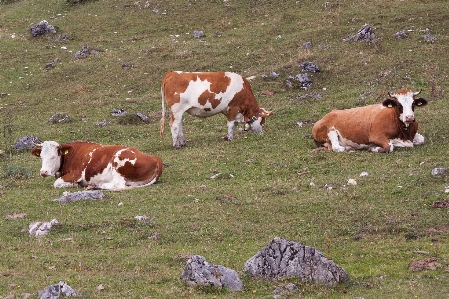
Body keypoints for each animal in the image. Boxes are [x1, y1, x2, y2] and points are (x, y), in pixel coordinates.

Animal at [32, 142, 164, 191]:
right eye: (41, 157)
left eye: (53, 156)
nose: (43, 172)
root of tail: (156, 158)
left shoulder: (76, 174)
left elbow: (56, 183)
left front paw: (75, 185)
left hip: (118, 163)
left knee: (117, 185)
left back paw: (94, 185)